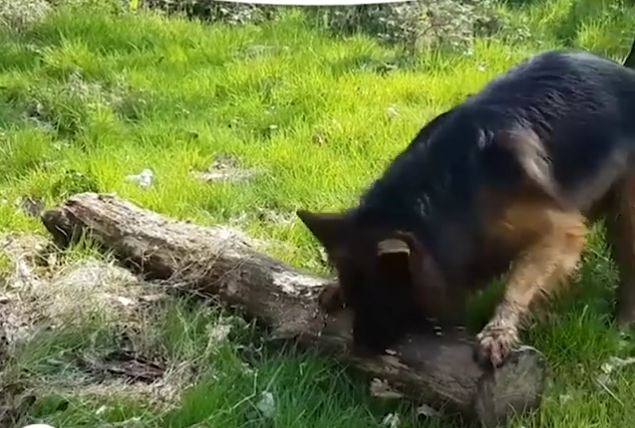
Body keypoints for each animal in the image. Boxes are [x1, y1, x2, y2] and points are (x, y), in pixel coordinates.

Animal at [296, 44, 635, 368]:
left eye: (384, 297)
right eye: (356, 295)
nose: (360, 351)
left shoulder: (560, 231)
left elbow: (519, 285)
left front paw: (498, 332)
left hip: (626, 215)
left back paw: (620, 325)